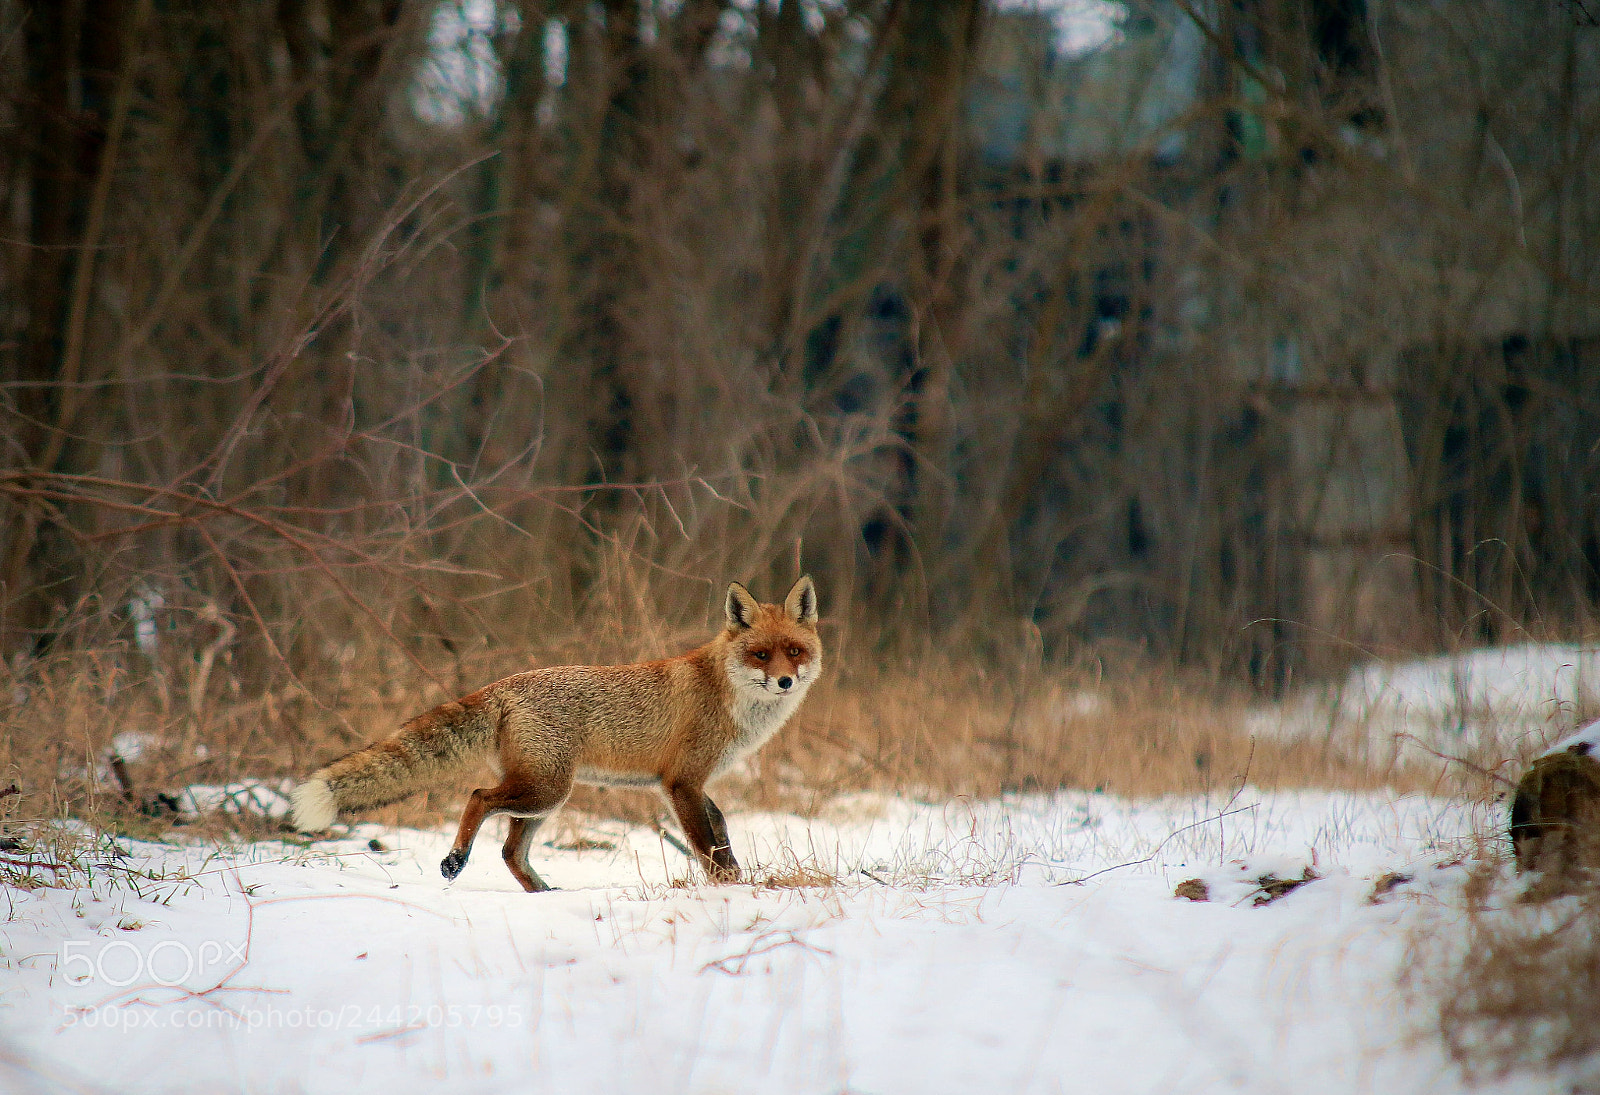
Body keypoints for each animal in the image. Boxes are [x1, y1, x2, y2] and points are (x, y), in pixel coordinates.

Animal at [289, 576, 821, 892]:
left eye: (794, 651)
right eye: (760, 655)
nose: (784, 681)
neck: (728, 694)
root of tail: (502, 684)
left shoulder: (690, 783)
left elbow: (722, 830)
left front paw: (735, 878)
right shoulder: (681, 782)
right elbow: (705, 843)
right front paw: (724, 889)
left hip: (545, 797)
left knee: (509, 850)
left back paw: (540, 894)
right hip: (547, 789)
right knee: (479, 797)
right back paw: (456, 859)